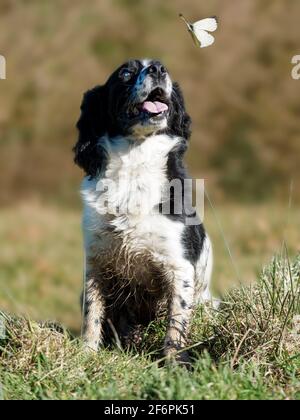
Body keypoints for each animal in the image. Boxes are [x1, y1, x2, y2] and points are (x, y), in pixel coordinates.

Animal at [73, 58, 213, 360]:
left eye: (165, 68)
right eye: (126, 73)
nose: (158, 69)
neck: (135, 163)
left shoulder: (179, 267)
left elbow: (176, 326)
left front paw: (173, 363)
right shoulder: (97, 262)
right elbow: (92, 314)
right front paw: (87, 354)